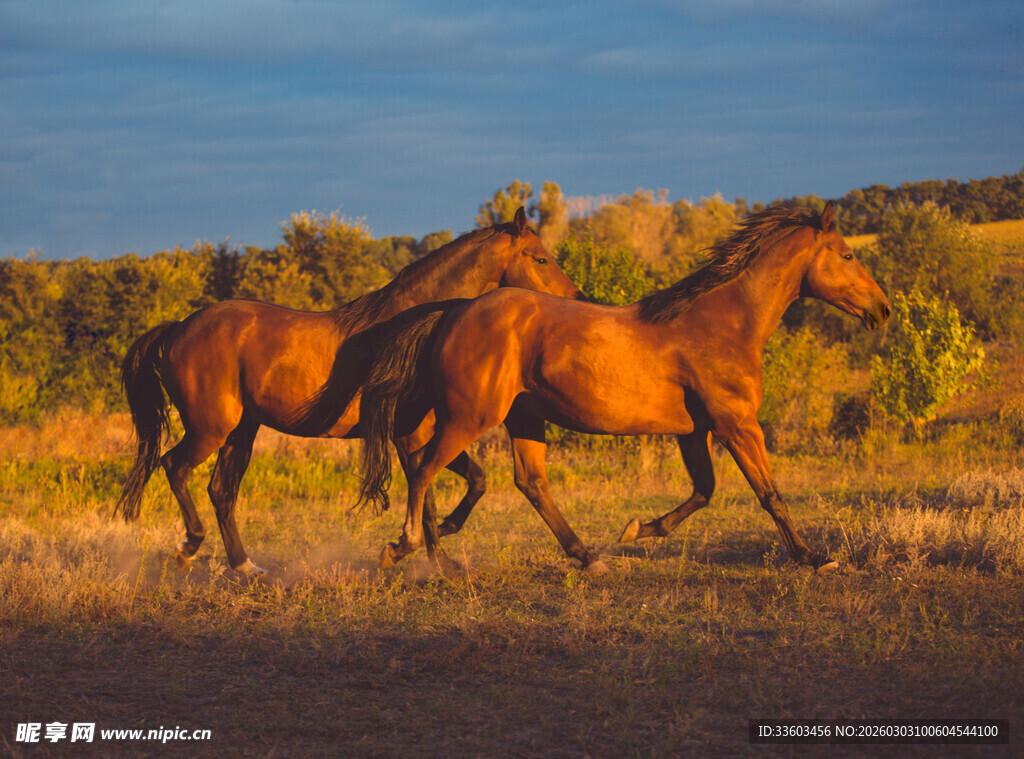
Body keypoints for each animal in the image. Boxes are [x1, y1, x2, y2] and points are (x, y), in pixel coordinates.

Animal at [116, 207, 582, 575]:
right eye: (541, 257)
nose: (578, 299)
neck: (412, 329)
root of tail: (179, 328)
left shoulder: (425, 432)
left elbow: (471, 481)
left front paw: (438, 548)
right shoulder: (410, 434)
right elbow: (428, 491)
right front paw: (431, 558)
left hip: (240, 433)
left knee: (220, 491)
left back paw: (246, 567)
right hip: (210, 429)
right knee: (174, 466)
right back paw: (189, 547)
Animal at [357, 201, 890, 573]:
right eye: (847, 254)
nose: (882, 309)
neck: (721, 323)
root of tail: (454, 311)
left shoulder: (694, 432)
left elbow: (705, 491)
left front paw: (637, 530)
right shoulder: (737, 424)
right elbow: (769, 494)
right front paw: (815, 557)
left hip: (524, 417)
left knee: (529, 483)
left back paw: (588, 557)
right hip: (469, 417)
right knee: (423, 468)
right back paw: (409, 547)